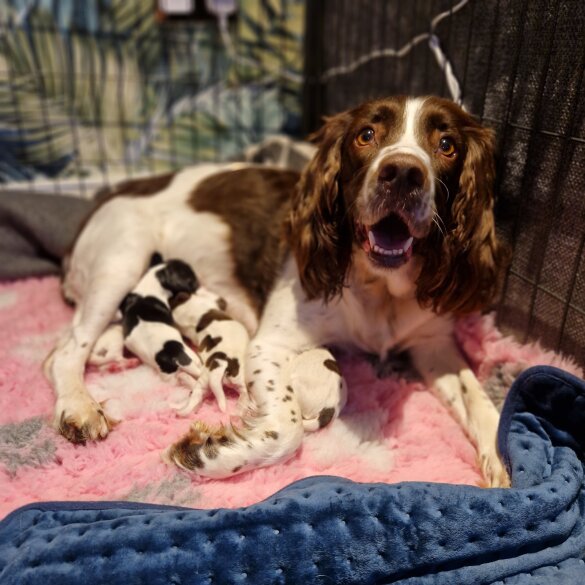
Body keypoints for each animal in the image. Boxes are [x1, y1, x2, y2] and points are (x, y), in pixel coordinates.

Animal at [45, 96, 508, 486]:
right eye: (366, 135)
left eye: (447, 144)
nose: (404, 174)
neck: (380, 286)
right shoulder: (270, 344)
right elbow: (286, 428)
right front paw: (207, 454)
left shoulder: (432, 342)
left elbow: (479, 399)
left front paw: (503, 459)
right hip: (121, 258)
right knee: (64, 352)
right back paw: (79, 407)